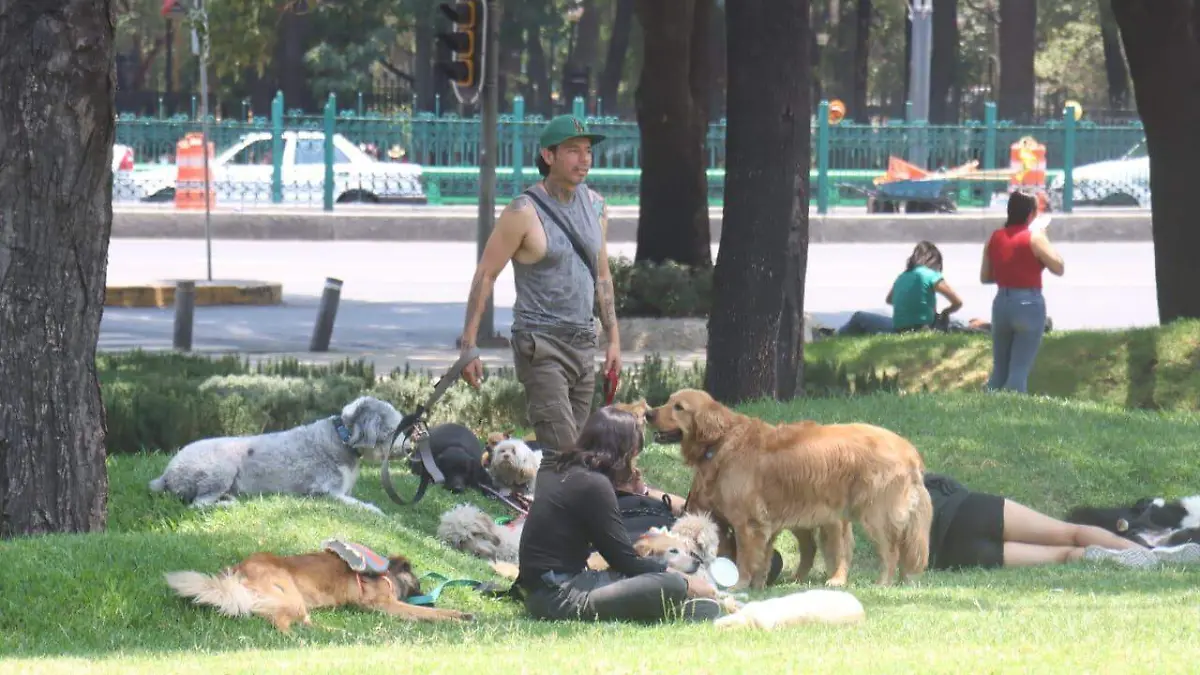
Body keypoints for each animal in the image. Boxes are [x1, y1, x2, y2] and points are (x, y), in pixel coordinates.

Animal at [148, 393, 403, 509]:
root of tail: (167, 475)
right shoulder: (324, 492)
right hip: (219, 469)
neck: (341, 439)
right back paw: (227, 503)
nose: (409, 446)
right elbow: (363, 506)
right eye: (393, 430)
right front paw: (377, 511)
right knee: (198, 504)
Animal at [163, 540, 468, 629]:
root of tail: (238, 572)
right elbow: (425, 613)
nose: (431, 596)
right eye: (418, 585)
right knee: (282, 624)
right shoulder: (385, 603)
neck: (386, 574)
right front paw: (458, 615)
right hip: (291, 595)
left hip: (289, 600)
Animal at [652, 386, 931, 586]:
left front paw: (739, 585)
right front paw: (757, 587)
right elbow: (760, 560)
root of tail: (909, 450)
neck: (720, 441)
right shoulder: (758, 523)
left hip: (873, 514)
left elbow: (744, 559)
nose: (648, 413)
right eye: (667, 400)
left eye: (679, 407)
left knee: (889, 551)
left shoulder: (748, 523)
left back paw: (880, 584)